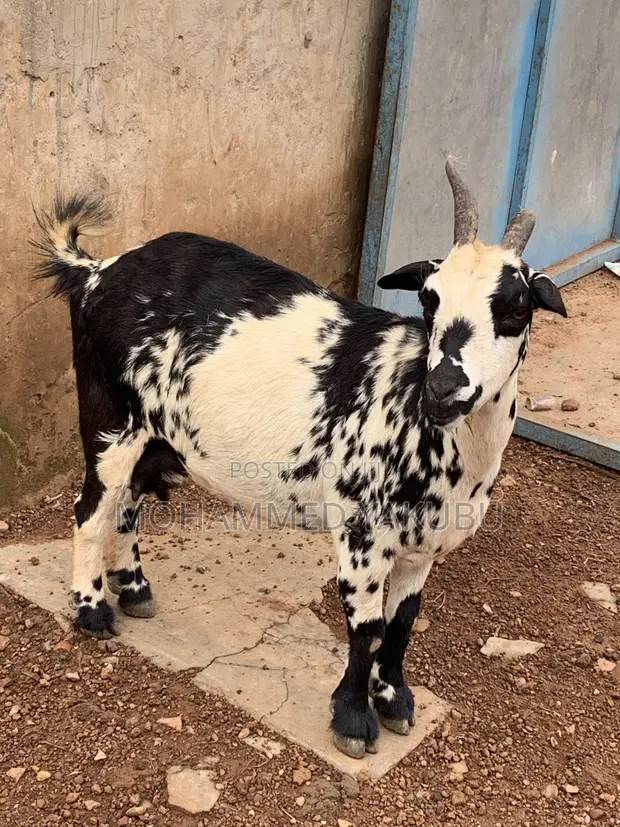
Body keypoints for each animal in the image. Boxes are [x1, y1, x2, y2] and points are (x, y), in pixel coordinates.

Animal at [34, 159, 566, 759]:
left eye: (517, 305)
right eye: (429, 298)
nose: (444, 390)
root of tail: (95, 271)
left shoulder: (425, 543)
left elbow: (403, 621)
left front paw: (395, 699)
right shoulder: (363, 533)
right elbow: (367, 627)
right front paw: (353, 720)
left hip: (154, 433)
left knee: (128, 502)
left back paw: (135, 588)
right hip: (109, 416)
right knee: (91, 510)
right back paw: (92, 609)